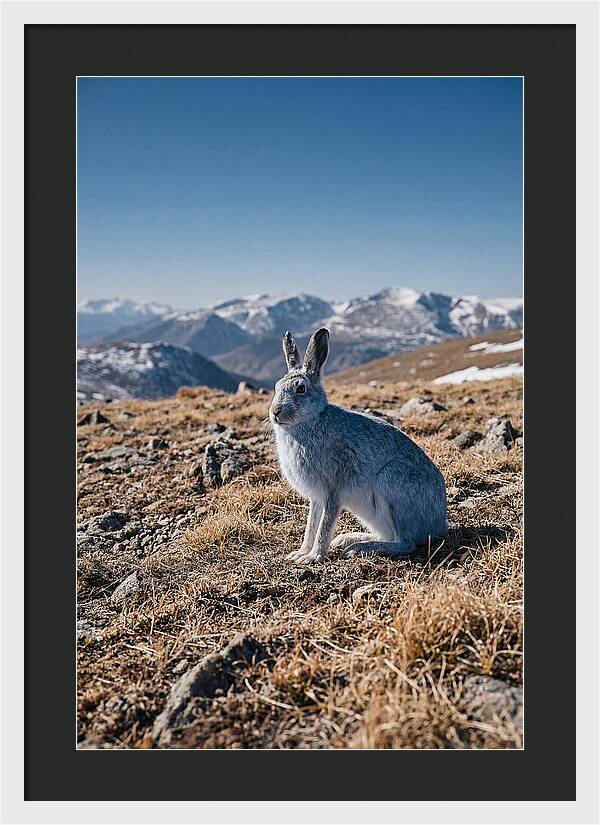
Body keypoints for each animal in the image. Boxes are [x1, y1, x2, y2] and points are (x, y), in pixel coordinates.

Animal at [269, 327, 447, 564]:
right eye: (276, 386)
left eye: (300, 389)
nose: (275, 412)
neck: (310, 421)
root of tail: (439, 524)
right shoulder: (316, 498)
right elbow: (311, 525)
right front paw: (300, 553)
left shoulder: (333, 490)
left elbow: (324, 526)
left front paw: (313, 557)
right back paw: (348, 539)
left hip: (393, 484)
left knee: (405, 542)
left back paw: (359, 548)